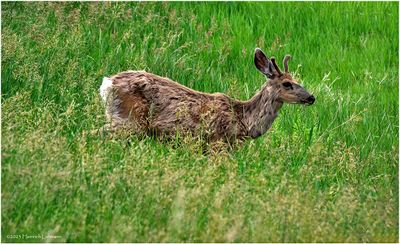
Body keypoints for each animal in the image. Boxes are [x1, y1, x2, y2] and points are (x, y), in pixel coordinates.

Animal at [99, 47, 316, 142]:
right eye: (287, 84)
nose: (311, 97)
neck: (244, 120)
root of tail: (108, 83)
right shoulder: (217, 142)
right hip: (127, 120)